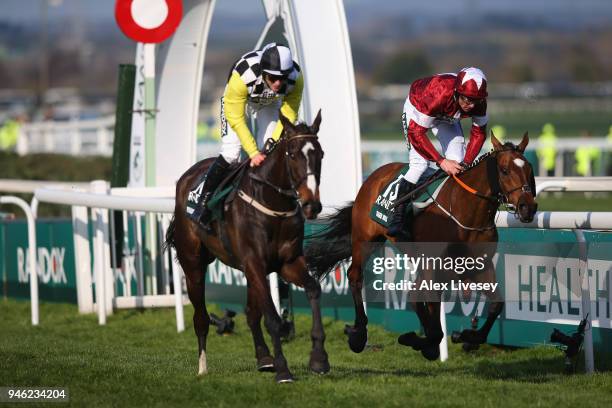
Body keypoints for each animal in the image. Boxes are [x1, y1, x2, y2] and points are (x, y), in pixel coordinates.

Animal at [164, 111, 330, 382]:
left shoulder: (286, 263)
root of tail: (188, 176)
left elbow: (313, 290)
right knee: (201, 318)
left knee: (252, 313)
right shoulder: (254, 263)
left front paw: (319, 359)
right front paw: (283, 370)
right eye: (293, 154)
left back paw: (264, 358)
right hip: (193, 265)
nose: (311, 204)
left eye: (321, 154)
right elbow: (272, 318)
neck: (273, 204)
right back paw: (202, 367)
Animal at [306, 132, 536, 358]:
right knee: (355, 276)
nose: (528, 207)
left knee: (415, 295)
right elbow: (435, 328)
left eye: (530, 169)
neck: (465, 213)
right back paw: (359, 335)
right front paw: (418, 340)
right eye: (505, 171)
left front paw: (466, 336)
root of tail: (373, 176)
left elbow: (496, 305)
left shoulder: (479, 266)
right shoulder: (434, 266)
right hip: (365, 239)